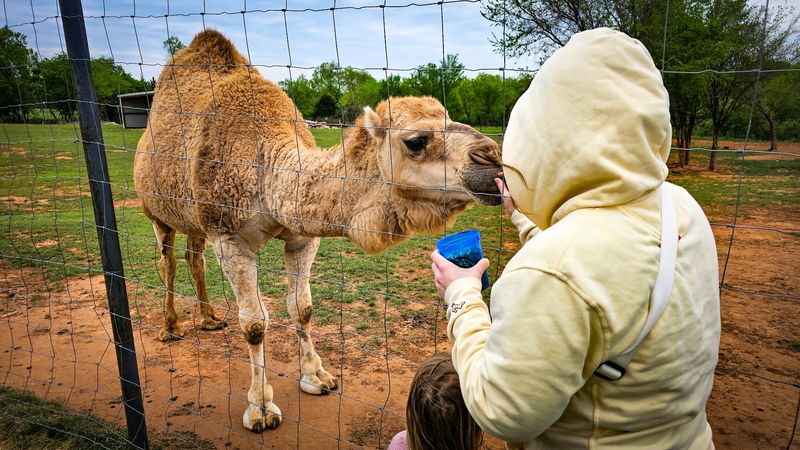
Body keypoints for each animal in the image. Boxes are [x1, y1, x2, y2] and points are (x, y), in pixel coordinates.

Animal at [133, 29, 502, 433]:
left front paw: (316, 377)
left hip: (194, 220)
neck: (268, 171)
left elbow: (303, 308)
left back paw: (210, 319)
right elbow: (254, 324)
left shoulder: (301, 237)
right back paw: (171, 326)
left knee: (193, 256)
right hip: (157, 213)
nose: (492, 157)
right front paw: (260, 407)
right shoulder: (228, 236)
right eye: (416, 140)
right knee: (168, 261)